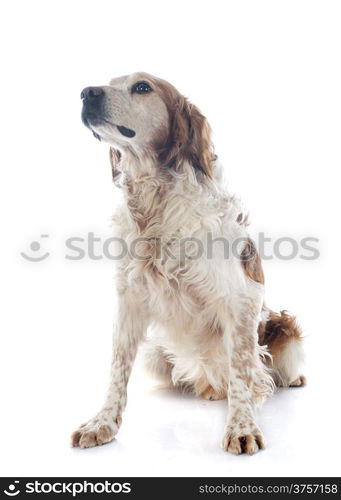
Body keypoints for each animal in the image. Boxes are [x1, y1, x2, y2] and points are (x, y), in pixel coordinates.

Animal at [70, 73, 304, 454]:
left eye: (142, 87)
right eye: (110, 82)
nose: (86, 92)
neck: (155, 202)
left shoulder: (240, 299)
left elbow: (242, 371)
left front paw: (242, 427)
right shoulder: (129, 300)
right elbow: (117, 369)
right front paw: (102, 423)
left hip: (286, 330)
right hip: (155, 354)